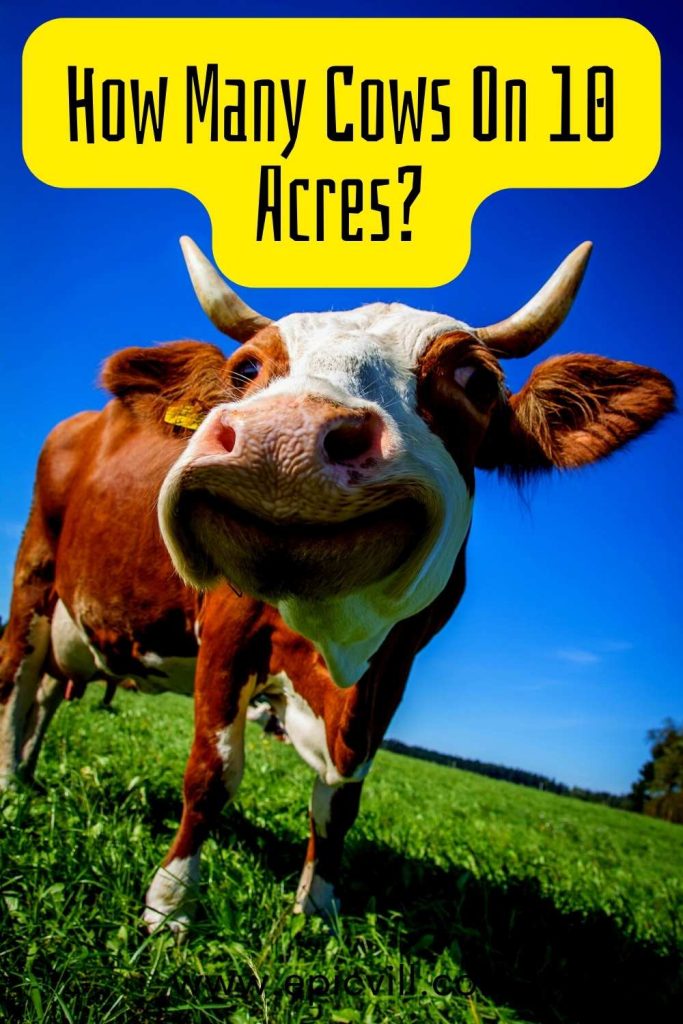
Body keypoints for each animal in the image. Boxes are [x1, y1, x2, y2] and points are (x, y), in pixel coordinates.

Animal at [0, 238, 674, 934]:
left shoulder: (393, 670)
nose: (282, 438)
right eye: (246, 370)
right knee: (16, 682)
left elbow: (340, 800)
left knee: (46, 692)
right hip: (33, 576)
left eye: (478, 382)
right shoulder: (227, 631)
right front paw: (171, 904)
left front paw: (317, 907)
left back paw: (29, 770)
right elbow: (212, 772)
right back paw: (11, 785)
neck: (335, 644)